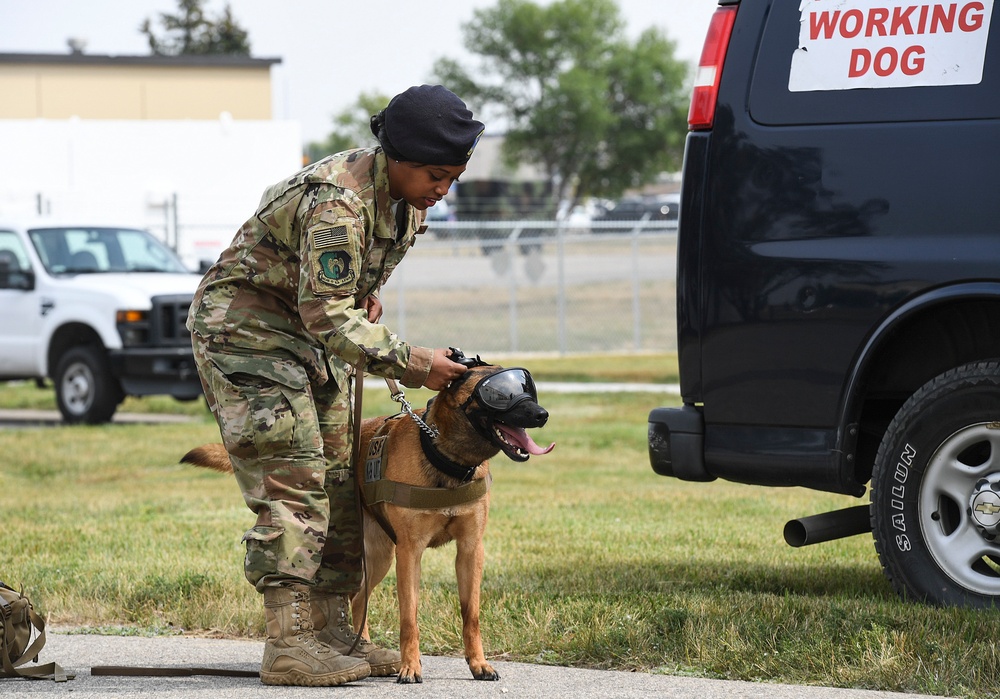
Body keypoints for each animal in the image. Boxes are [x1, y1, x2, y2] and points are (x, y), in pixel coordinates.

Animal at [184, 358, 552, 688]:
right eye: (499, 394)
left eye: (526, 388)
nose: (541, 414)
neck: (444, 457)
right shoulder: (410, 553)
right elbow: (409, 618)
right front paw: (410, 667)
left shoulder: (470, 551)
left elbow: (470, 615)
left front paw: (478, 664)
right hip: (373, 554)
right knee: (345, 594)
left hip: (375, 558)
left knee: (357, 598)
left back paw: (363, 649)